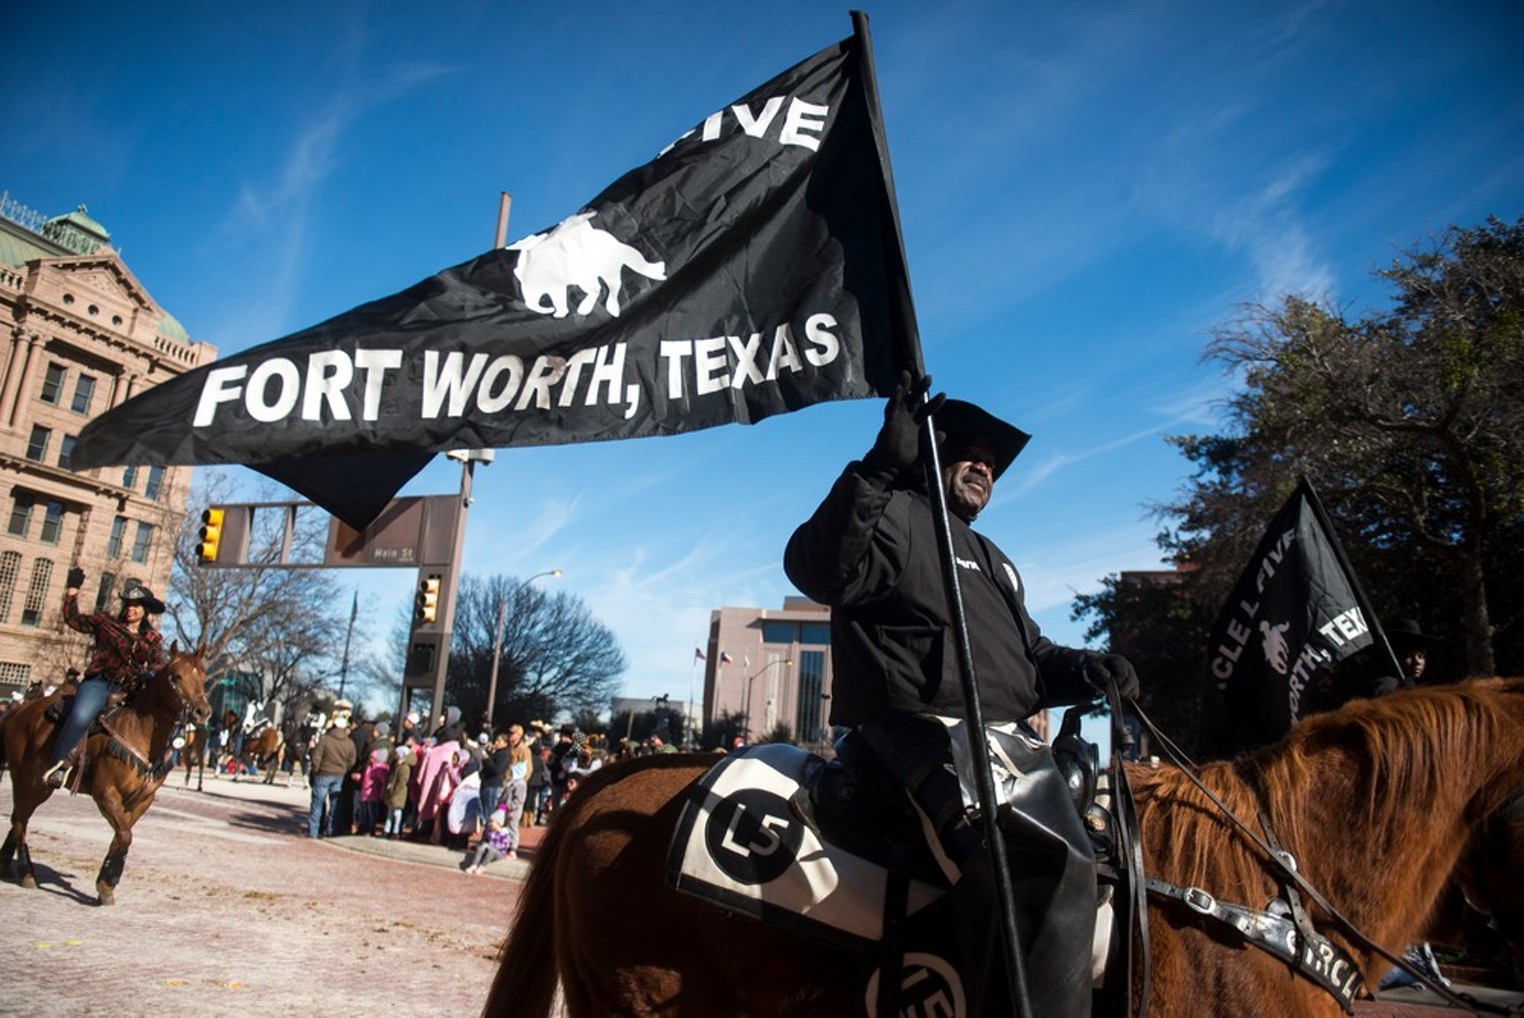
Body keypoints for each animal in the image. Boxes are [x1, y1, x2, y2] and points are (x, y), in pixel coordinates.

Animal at [0, 643, 211, 908]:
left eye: (203, 675)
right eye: (175, 676)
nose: (202, 711)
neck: (139, 731)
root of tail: (18, 713)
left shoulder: (142, 800)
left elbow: (121, 838)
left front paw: (106, 884)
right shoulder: (106, 793)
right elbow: (125, 835)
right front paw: (106, 884)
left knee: (18, 818)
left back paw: (7, 864)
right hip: (29, 780)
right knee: (20, 821)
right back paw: (27, 873)